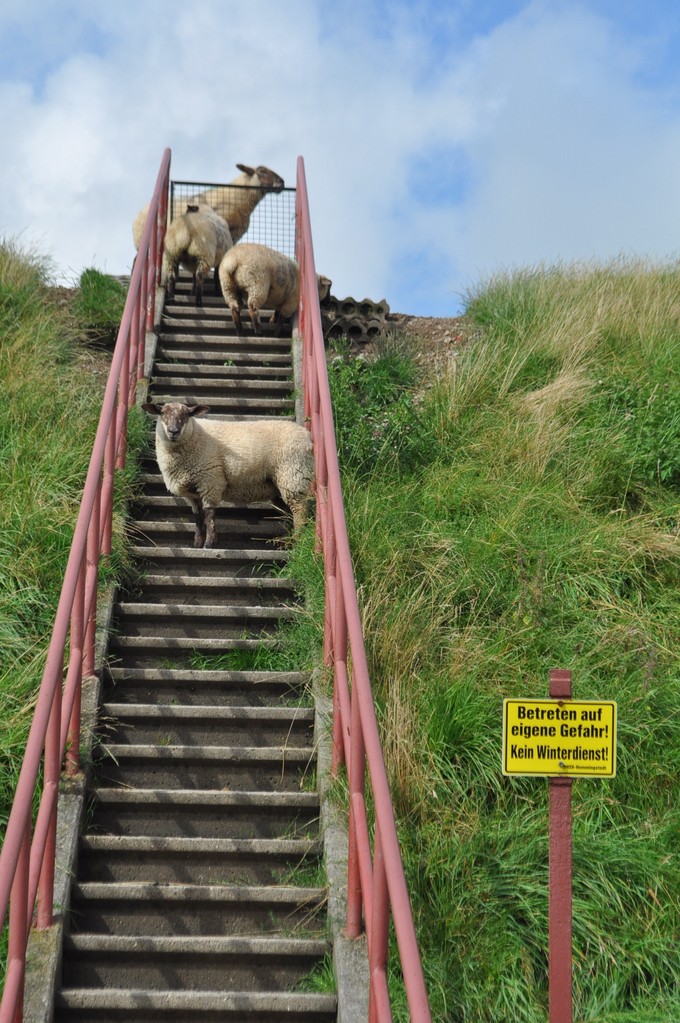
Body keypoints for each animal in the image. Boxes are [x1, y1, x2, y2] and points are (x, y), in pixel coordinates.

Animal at [142, 398, 314, 548]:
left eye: (187, 415)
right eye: (162, 413)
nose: (173, 431)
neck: (194, 436)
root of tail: (308, 438)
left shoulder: (210, 480)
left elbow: (209, 515)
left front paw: (209, 544)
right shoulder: (192, 493)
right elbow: (197, 517)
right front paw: (197, 543)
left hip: (293, 475)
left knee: (299, 511)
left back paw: (298, 540)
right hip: (279, 485)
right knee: (288, 513)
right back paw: (287, 541)